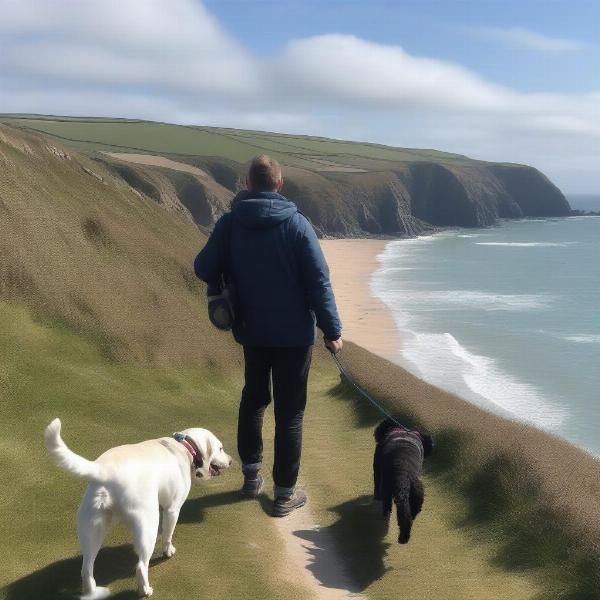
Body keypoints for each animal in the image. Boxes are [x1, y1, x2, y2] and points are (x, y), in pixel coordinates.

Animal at [44, 420, 232, 596]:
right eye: (221, 448)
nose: (231, 461)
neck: (184, 446)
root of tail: (103, 470)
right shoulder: (172, 509)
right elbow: (167, 535)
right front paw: (168, 551)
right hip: (147, 523)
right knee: (141, 565)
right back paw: (145, 590)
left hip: (91, 529)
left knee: (86, 569)